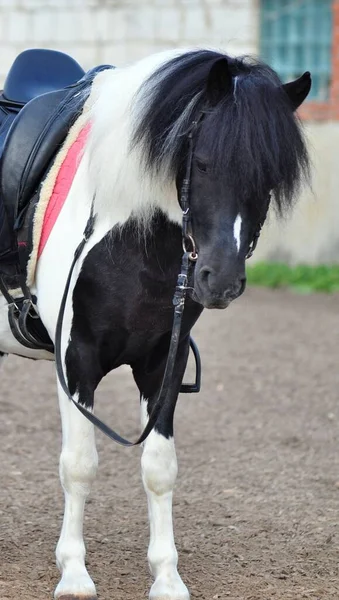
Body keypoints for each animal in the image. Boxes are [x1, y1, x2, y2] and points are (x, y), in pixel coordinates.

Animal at [0, 49, 310, 596]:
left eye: (270, 178)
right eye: (202, 162)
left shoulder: (163, 362)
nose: (220, 280)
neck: (129, 234)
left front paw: (167, 576)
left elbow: (159, 467)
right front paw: (74, 573)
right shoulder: (75, 361)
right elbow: (79, 466)